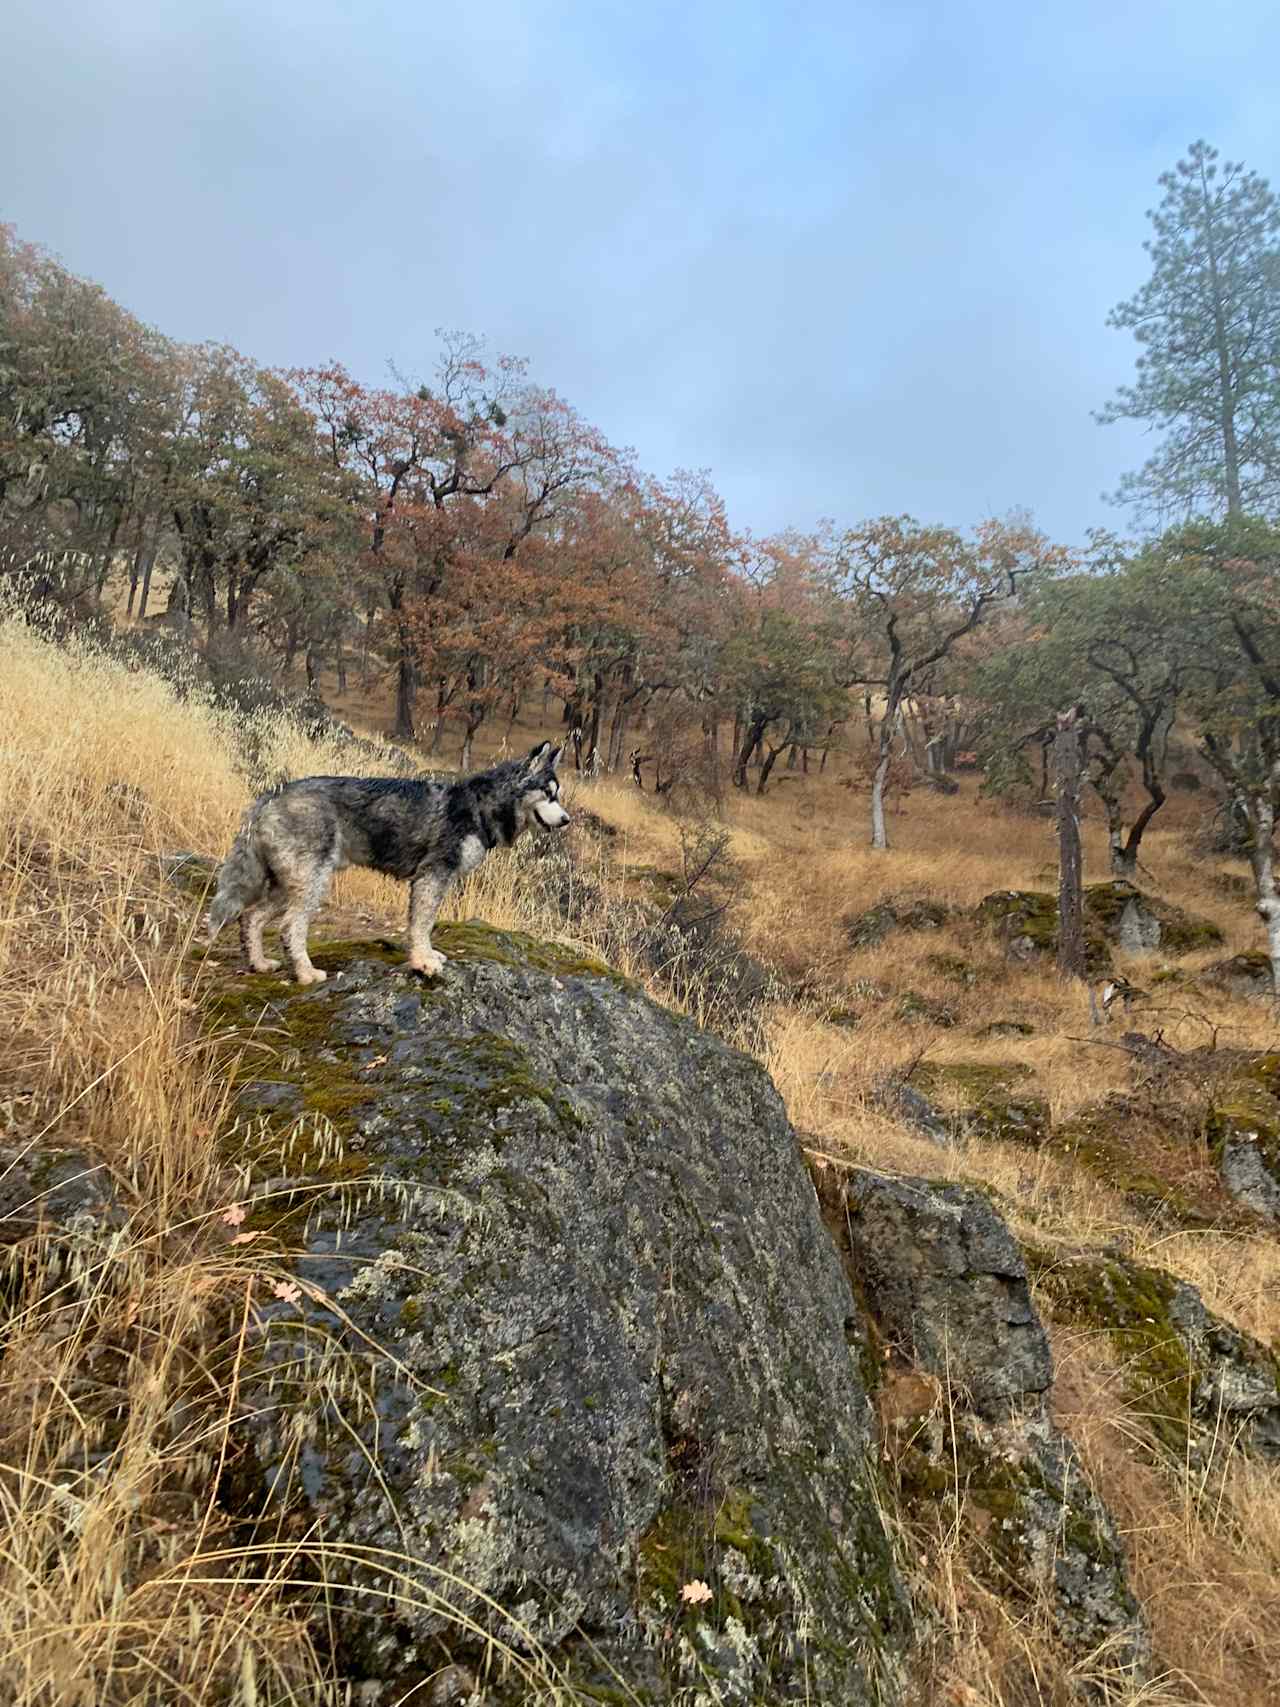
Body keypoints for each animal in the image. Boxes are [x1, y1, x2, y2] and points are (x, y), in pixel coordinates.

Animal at [208, 740, 570, 983]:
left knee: (251, 917)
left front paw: (427, 955)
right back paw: (306, 973)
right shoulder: (432, 876)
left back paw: (259, 964)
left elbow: (423, 924)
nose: (567, 820)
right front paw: (423, 961)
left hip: (289, 884)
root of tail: (271, 795)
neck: (480, 806)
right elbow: (421, 925)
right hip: (311, 884)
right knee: (289, 927)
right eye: (549, 794)